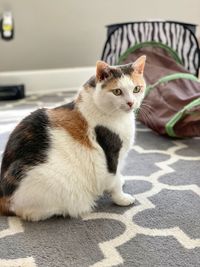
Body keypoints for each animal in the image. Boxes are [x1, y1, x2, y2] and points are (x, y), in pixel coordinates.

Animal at [0, 55, 145, 221]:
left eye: (136, 89)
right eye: (117, 91)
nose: (131, 103)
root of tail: (3, 198)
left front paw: (121, 181)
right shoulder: (112, 153)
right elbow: (114, 179)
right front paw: (121, 198)